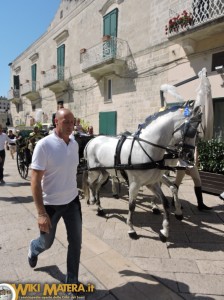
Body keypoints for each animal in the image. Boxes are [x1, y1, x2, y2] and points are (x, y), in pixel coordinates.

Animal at [82, 104, 201, 243]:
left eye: (198, 132)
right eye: (191, 130)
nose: (190, 156)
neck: (146, 149)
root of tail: (92, 140)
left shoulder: (152, 182)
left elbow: (166, 201)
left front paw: (164, 231)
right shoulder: (135, 184)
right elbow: (132, 206)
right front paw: (131, 229)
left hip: (105, 172)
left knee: (97, 186)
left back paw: (100, 208)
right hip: (94, 171)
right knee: (90, 183)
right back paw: (92, 200)